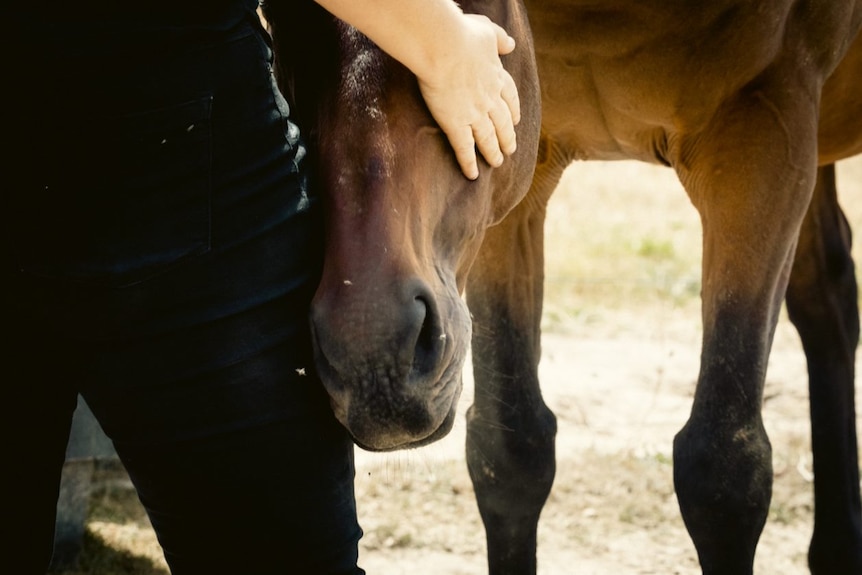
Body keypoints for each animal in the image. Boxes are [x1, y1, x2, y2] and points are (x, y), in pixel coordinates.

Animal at [270, 1, 862, 575]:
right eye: (280, 20)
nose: (372, 360)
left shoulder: (764, 134)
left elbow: (724, 472)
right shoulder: (515, 167)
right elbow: (510, 451)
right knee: (826, 300)